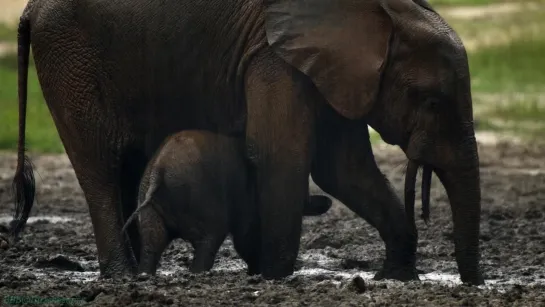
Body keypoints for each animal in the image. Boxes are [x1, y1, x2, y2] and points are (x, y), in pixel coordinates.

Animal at [122, 130, 332, 276]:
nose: (328, 201)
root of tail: (159, 169)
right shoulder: (247, 198)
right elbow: (246, 235)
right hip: (199, 194)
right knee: (211, 236)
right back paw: (198, 274)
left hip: (148, 194)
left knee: (152, 243)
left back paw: (144, 275)